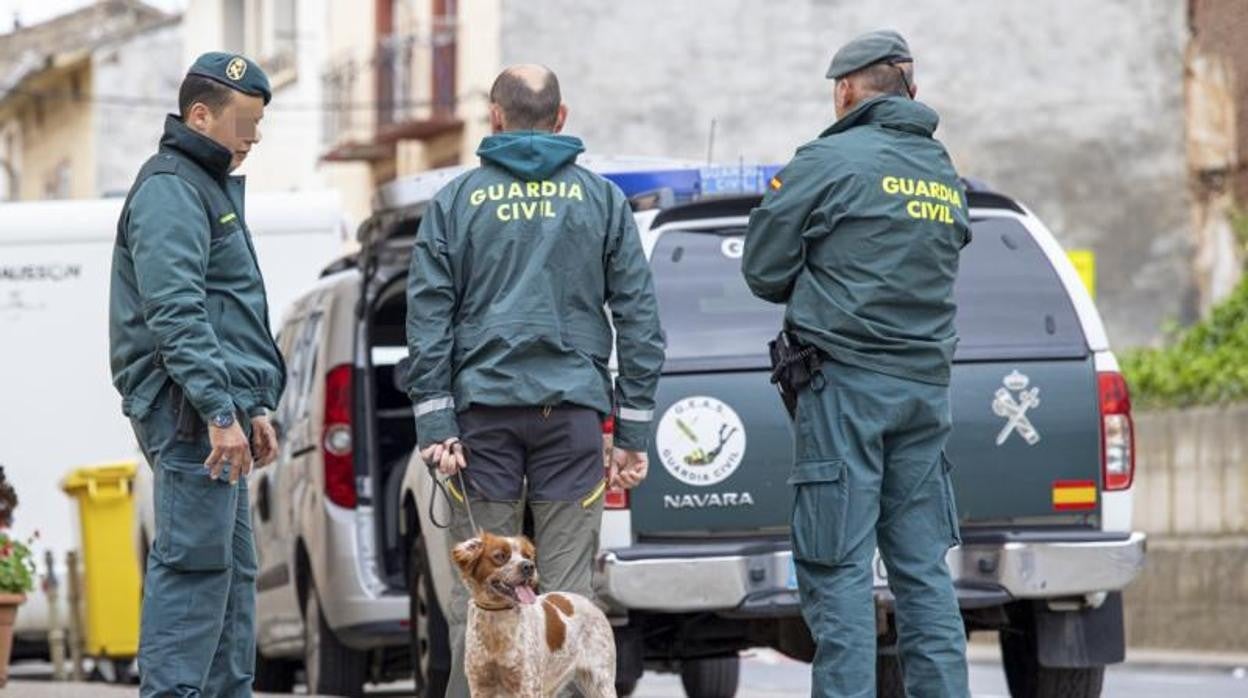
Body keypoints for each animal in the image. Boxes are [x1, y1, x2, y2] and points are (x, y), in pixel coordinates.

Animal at [454, 531, 619, 694]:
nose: (529, 566)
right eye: (500, 556)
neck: (497, 616)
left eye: (527, 556)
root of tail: (592, 604)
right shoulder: (480, 684)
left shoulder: (528, 685)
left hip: (601, 681)